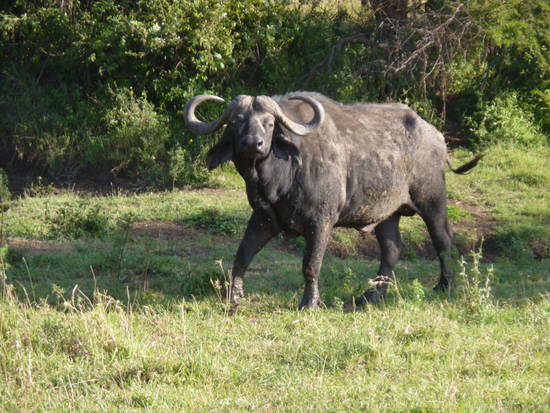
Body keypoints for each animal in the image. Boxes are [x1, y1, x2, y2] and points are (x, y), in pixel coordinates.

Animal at [184, 91, 484, 308]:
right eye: (237, 122)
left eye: (269, 124)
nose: (253, 144)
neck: (281, 175)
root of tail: (436, 136)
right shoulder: (263, 218)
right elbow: (242, 256)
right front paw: (234, 297)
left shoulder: (321, 221)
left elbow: (310, 265)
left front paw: (309, 303)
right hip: (387, 214)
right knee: (392, 250)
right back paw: (370, 296)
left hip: (432, 200)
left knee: (442, 242)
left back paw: (443, 285)